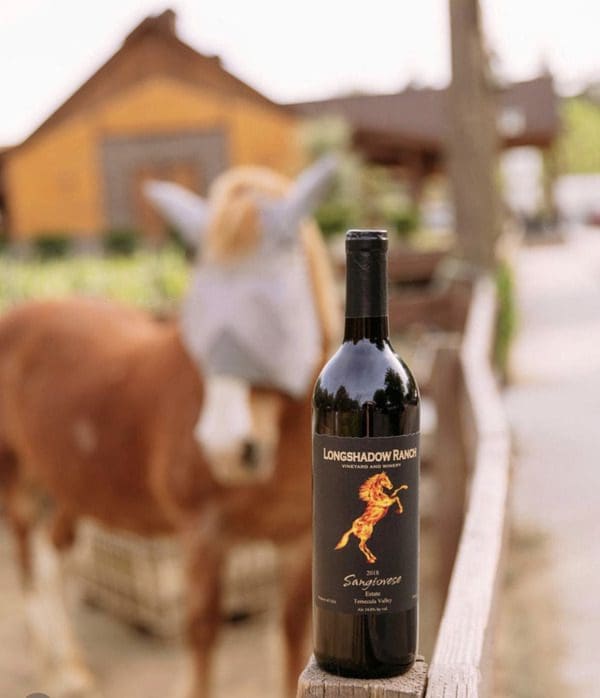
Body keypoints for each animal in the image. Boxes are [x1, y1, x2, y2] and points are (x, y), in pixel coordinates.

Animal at [0, 156, 340, 696]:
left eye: (279, 292)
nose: (226, 447)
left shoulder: (297, 544)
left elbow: (291, 637)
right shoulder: (201, 533)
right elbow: (201, 633)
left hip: (68, 484)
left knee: (55, 554)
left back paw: (73, 667)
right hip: (16, 479)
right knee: (30, 563)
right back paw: (50, 668)